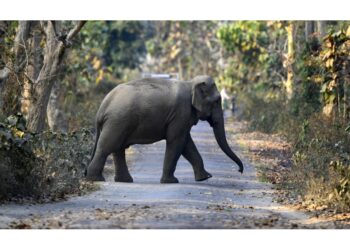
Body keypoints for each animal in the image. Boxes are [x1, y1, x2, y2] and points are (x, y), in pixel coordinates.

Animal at [85, 75, 243, 183]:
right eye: (217, 101)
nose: (240, 170)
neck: (190, 83)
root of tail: (102, 106)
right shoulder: (181, 112)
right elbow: (177, 141)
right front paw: (171, 182)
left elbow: (187, 144)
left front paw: (205, 178)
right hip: (118, 121)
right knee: (107, 147)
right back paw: (96, 179)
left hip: (119, 122)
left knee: (118, 149)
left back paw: (124, 180)